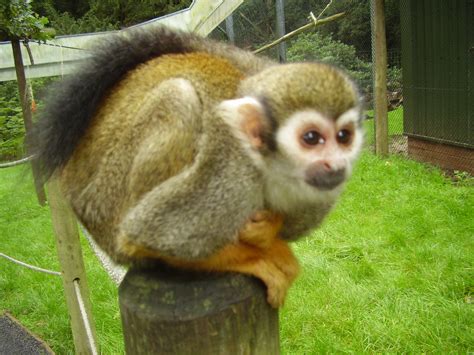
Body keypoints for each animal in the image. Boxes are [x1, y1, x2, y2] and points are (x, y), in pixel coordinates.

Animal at [34, 27, 362, 308]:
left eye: (344, 136)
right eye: (311, 138)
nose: (337, 164)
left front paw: (268, 230)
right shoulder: (230, 172)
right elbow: (142, 234)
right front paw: (250, 258)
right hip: (103, 200)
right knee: (178, 97)